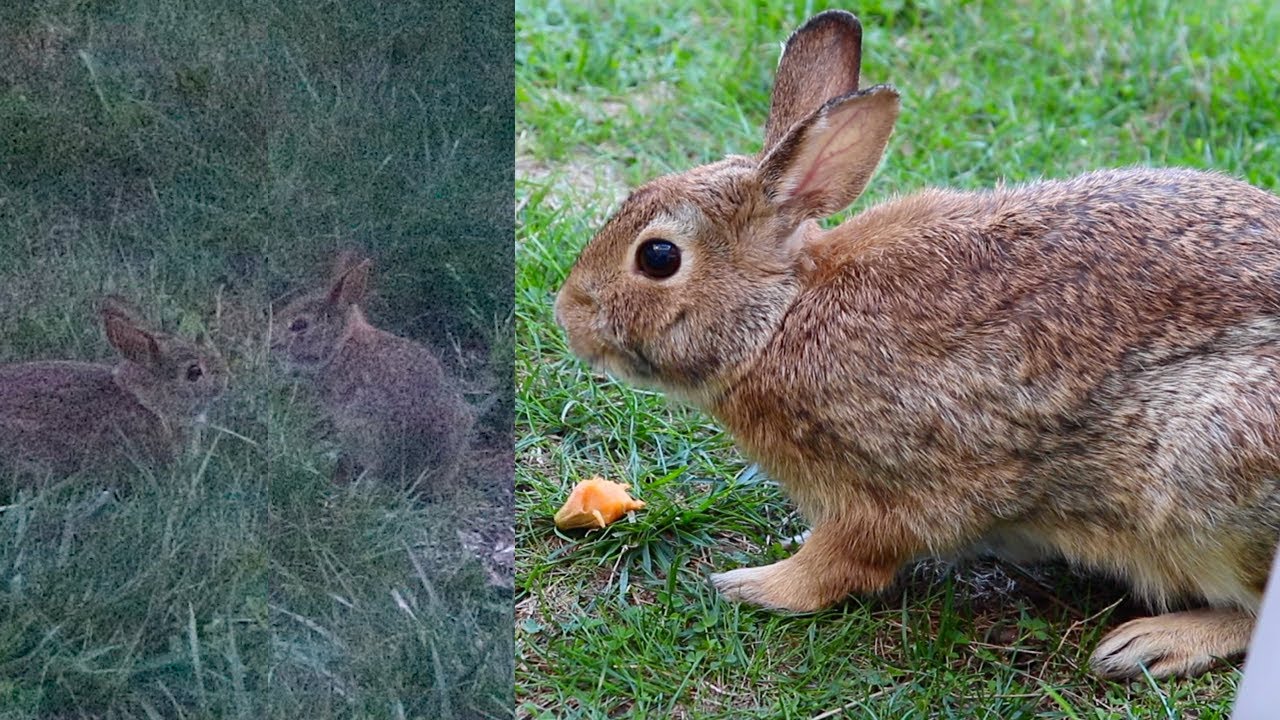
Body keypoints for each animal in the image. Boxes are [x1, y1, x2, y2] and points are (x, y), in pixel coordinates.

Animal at [554, 9, 1280, 680]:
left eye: (658, 257)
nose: (568, 316)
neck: (780, 317)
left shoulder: (883, 487)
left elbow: (841, 563)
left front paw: (753, 586)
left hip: (1206, 476)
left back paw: (1152, 643)